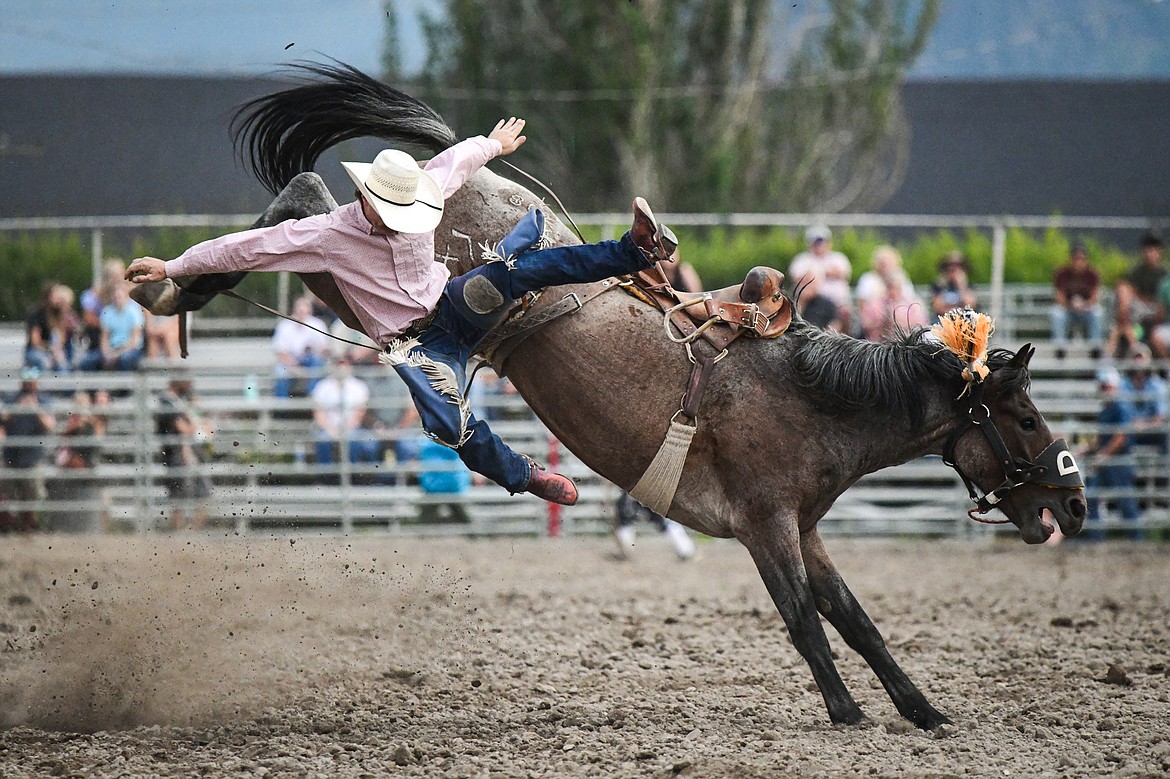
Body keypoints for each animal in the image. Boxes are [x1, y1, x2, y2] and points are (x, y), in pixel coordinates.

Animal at [132, 62, 1090, 729]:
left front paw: (922, 709)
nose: (1076, 503)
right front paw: (849, 712)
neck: (806, 394)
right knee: (311, 215)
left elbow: (855, 618)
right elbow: (804, 620)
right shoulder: (766, 525)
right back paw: (175, 284)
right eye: (1027, 415)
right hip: (374, 275)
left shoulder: (807, 526)